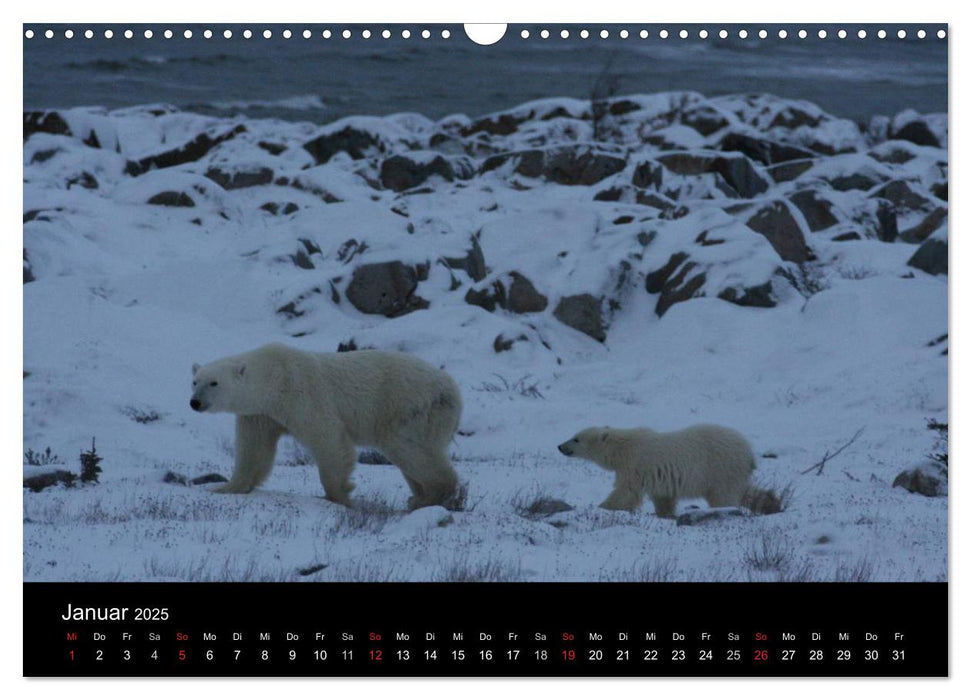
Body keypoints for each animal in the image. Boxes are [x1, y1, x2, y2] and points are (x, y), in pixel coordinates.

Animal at [192, 344, 466, 508]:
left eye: (214, 383)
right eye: (194, 381)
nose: (195, 402)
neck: (273, 376)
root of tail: (452, 389)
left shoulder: (300, 393)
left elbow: (328, 438)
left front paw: (340, 493)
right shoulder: (261, 413)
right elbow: (253, 450)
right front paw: (226, 487)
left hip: (410, 407)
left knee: (408, 447)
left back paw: (430, 496)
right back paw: (419, 496)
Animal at [560, 424, 756, 516]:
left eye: (576, 439)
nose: (560, 446)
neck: (622, 449)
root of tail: (749, 452)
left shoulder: (635, 464)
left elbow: (626, 493)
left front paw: (602, 507)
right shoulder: (657, 476)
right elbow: (663, 498)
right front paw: (665, 513)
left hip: (722, 468)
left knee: (723, 496)